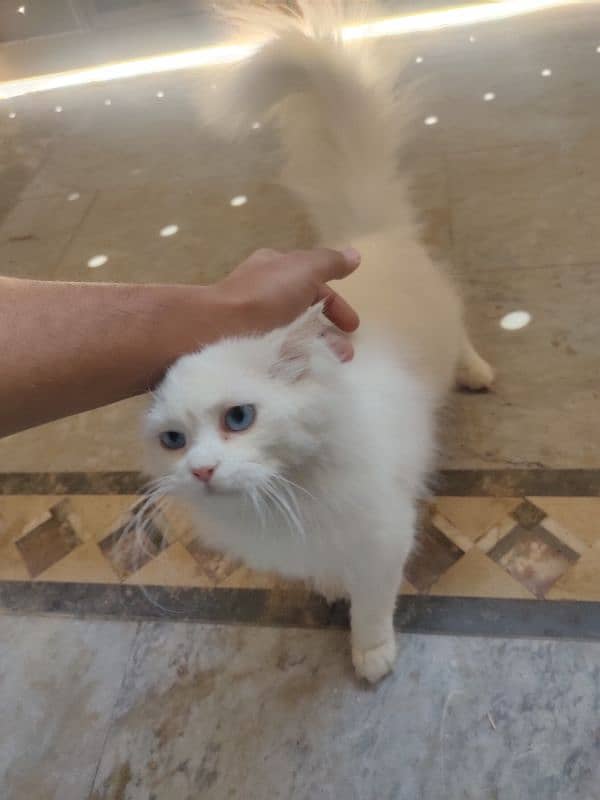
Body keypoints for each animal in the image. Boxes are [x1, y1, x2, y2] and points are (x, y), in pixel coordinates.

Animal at [144, 3, 492, 684]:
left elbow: (374, 603)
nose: (200, 470)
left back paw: (476, 372)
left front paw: (371, 655)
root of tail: (367, 237)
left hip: (446, 324)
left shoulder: (384, 534)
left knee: (462, 337)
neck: (288, 499)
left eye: (239, 418)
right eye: (173, 440)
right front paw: (331, 589)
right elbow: (332, 577)